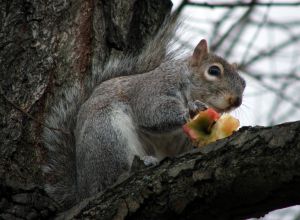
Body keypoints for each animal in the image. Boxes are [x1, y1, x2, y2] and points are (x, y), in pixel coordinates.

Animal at [42, 16, 245, 208]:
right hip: (107, 134)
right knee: (113, 175)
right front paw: (190, 110)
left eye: (244, 83)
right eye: (213, 71)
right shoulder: (152, 89)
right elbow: (152, 111)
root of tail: (83, 189)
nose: (237, 100)